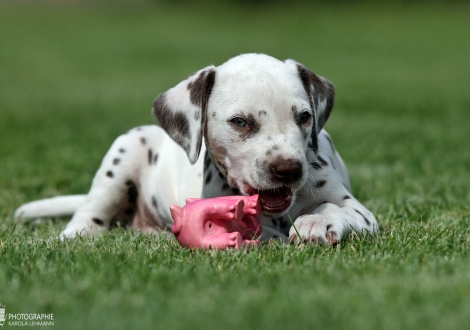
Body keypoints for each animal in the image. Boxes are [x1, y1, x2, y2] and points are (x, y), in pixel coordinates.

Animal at [14, 52, 378, 244]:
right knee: (86, 217)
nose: (288, 169)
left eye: (304, 117)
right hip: (125, 151)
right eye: (240, 122)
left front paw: (317, 221)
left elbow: (338, 208)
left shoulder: (359, 211)